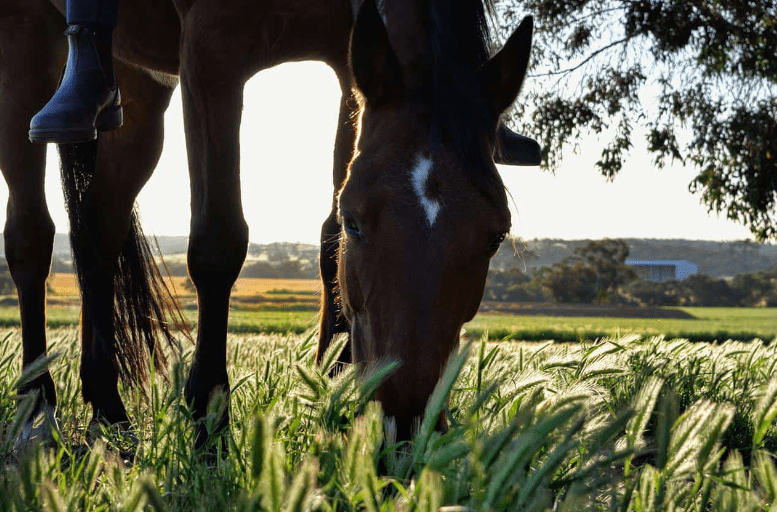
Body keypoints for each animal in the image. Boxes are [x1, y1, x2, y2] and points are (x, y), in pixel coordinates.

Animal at [0, 0, 536, 448]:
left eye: (496, 236)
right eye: (357, 222)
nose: (405, 425)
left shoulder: (347, 59)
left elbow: (327, 241)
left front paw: (334, 392)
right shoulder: (212, 47)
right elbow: (218, 241)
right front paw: (209, 420)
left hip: (139, 84)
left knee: (97, 225)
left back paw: (107, 410)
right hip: (26, 42)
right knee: (30, 237)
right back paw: (36, 409)